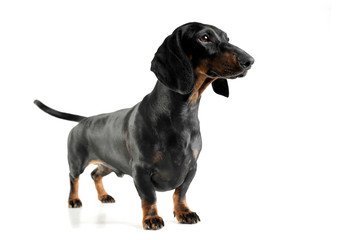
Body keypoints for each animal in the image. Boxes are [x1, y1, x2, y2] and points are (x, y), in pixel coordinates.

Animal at [34, 22, 253, 229]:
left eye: (227, 38)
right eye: (205, 37)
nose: (250, 61)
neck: (181, 114)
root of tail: (84, 120)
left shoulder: (192, 167)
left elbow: (180, 192)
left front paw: (183, 212)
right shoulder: (140, 169)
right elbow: (149, 197)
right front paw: (152, 218)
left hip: (110, 163)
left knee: (95, 174)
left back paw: (104, 195)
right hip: (76, 161)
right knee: (74, 178)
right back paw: (73, 200)